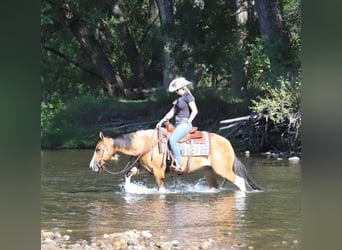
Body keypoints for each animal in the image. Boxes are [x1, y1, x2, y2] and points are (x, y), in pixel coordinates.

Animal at [89, 129, 262, 191]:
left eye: (98, 149)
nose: (92, 166)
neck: (146, 143)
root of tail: (228, 143)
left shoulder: (158, 172)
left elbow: (161, 189)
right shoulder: (144, 168)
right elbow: (127, 175)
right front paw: (128, 191)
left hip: (223, 170)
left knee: (240, 181)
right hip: (209, 172)